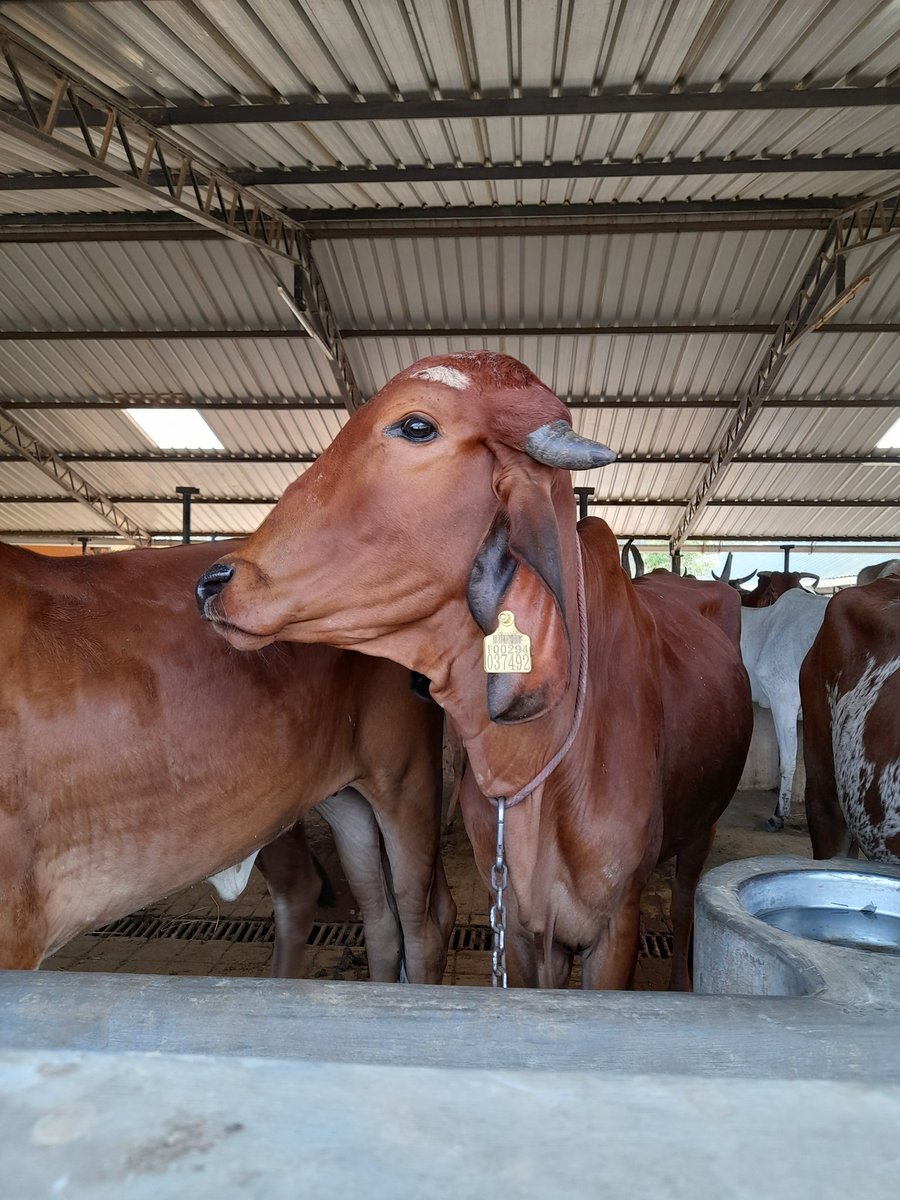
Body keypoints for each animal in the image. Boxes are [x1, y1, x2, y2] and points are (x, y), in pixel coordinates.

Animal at [198, 350, 753, 991]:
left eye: (417, 426)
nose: (214, 581)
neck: (538, 766)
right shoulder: (518, 926)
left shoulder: (615, 927)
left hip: (700, 832)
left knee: (686, 906)